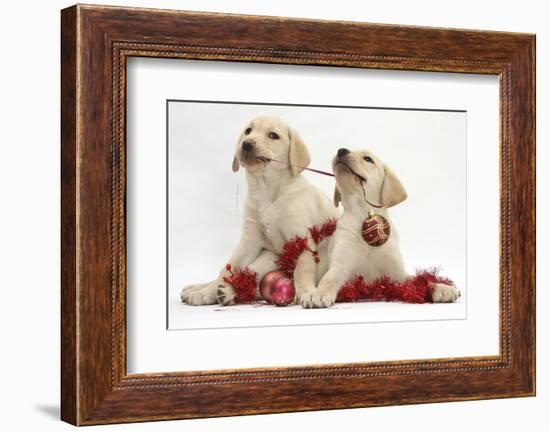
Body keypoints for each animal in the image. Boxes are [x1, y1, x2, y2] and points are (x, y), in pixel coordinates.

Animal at [181, 117, 338, 308]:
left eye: (273, 135)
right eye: (248, 131)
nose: (247, 144)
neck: (266, 189)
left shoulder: (302, 238)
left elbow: (302, 270)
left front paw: (307, 292)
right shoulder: (250, 241)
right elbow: (229, 268)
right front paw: (207, 290)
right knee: (238, 277)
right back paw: (202, 290)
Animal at [302, 149, 462, 310]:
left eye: (368, 159)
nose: (341, 150)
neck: (364, 213)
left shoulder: (397, 273)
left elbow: (420, 280)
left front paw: (440, 287)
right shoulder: (339, 267)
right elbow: (328, 279)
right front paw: (318, 293)